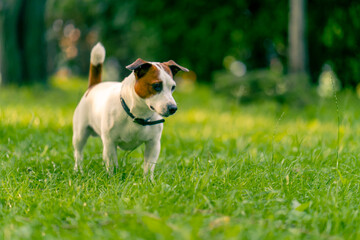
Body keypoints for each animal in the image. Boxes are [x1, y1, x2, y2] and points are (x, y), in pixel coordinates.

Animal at [71, 42, 188, 180]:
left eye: (173, 87)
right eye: (156, 86)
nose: (173, 108)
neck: (137, 114)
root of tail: (94, 86)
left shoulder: (153, 144)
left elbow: (149, 166)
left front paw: (148, 181)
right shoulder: (110, 143)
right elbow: (112, 164)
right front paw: (113, 179)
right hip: (80, 134)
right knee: (78, 152)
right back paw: (78, 170)